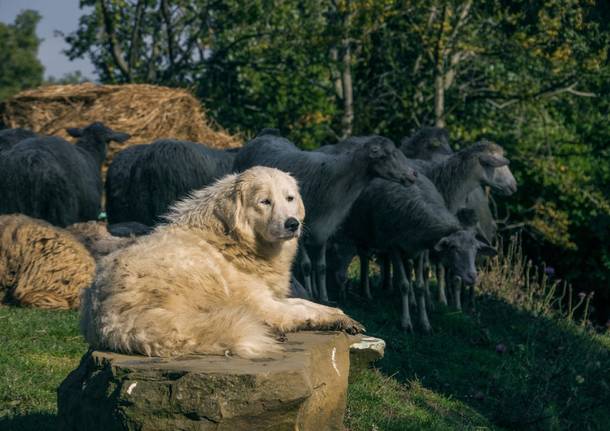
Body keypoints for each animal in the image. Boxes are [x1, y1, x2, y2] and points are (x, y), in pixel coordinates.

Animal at [82, 165, 364, 358]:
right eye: (265, 201)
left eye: (289, 198)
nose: (292, 224)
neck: (231, 240)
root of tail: (104, 317)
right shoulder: (264, 304)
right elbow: (302, 311)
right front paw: (338, 319)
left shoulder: (272, 296)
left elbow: (307, 303)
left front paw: (340, 315)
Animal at [230, 130, 416, 302]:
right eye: (385, 156)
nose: (412, 175)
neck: (337, 180)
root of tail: (266, 135)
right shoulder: (300, 229)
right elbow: (306, 265)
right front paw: (310, 294)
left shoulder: (324, 227)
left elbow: (320, 266)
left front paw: (324, 296)